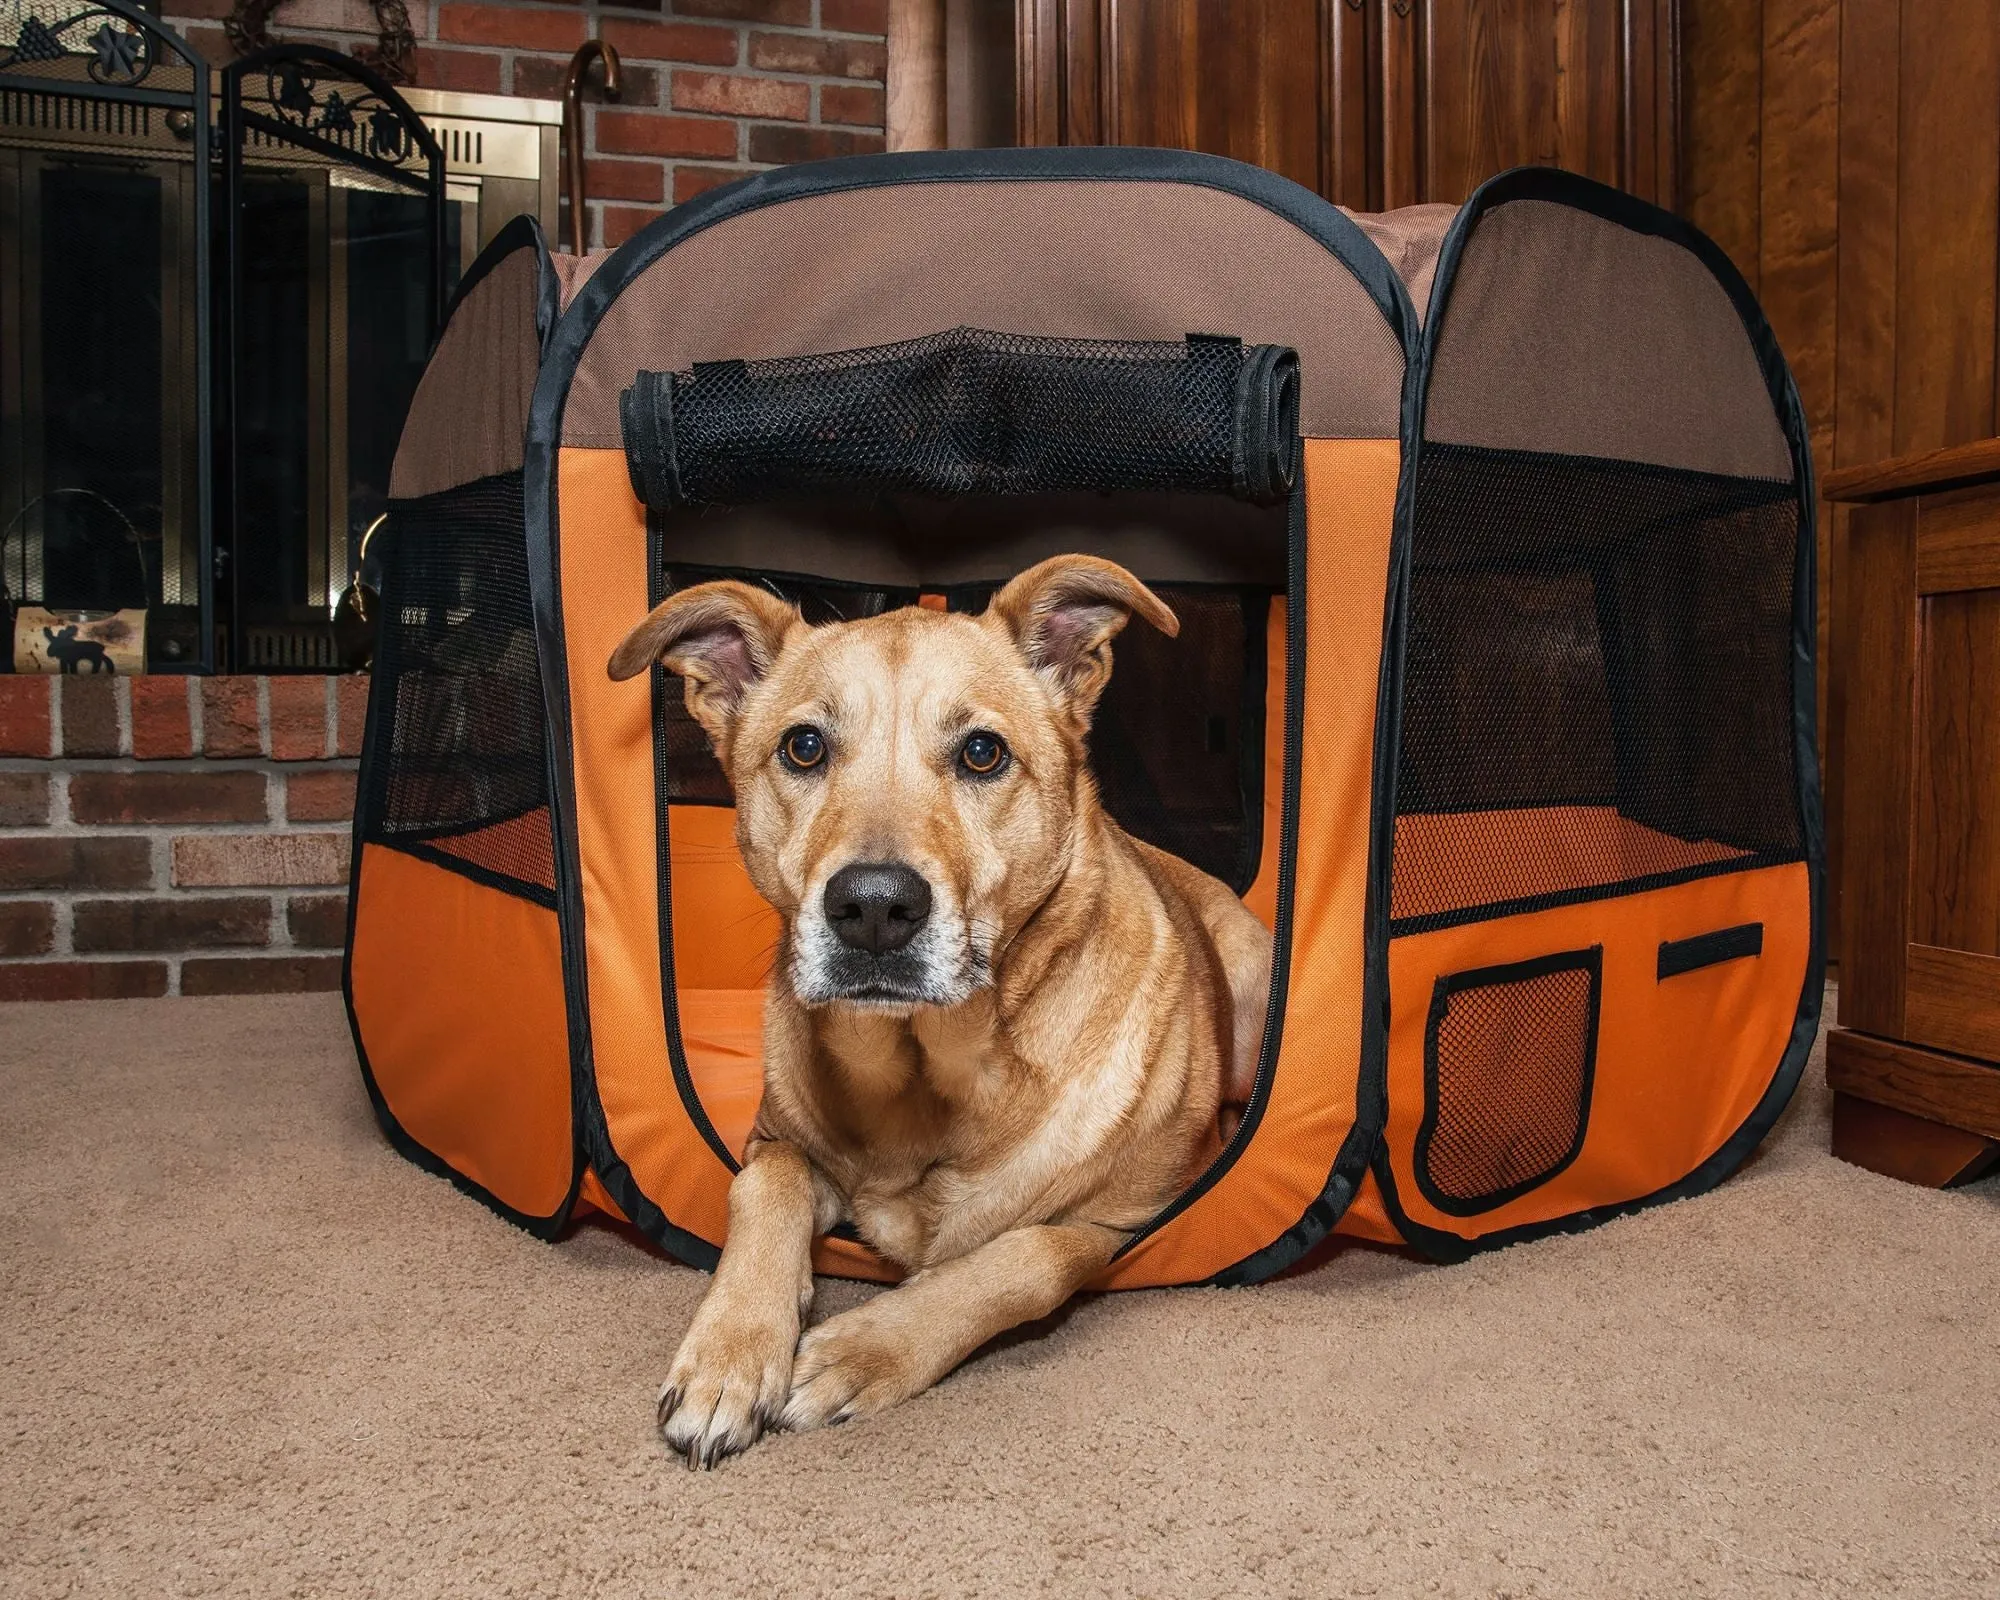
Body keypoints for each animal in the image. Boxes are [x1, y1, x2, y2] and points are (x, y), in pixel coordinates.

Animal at [600, 556, 1272, 1472]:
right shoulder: (770, 1141)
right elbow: (765, 1189)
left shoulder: (1121, 1224)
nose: (874, 909)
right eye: (804, 747)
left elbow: (1026, 1257)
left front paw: (861, 1348)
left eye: (982, 752)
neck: (923, 1074)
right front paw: (728, 1357)